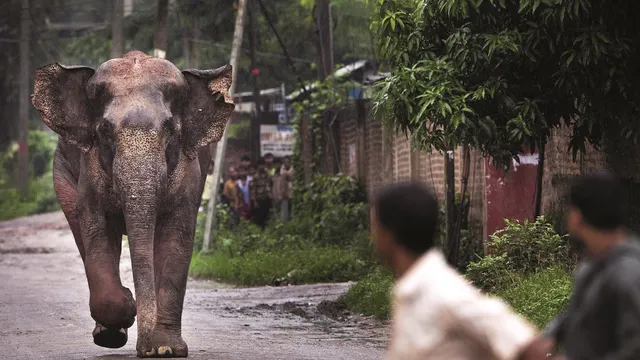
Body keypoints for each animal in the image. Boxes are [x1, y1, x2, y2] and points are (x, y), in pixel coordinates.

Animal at [30, 50, 235, 358]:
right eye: (105, 131)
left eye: (171, 131)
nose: (145, 348)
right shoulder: (90, 168)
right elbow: (97, 232)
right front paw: (128, 307)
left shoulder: (189, 172)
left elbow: (176, 239)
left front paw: (166, 349)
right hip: (62, 171)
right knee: (82, 235)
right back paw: (110, 334)